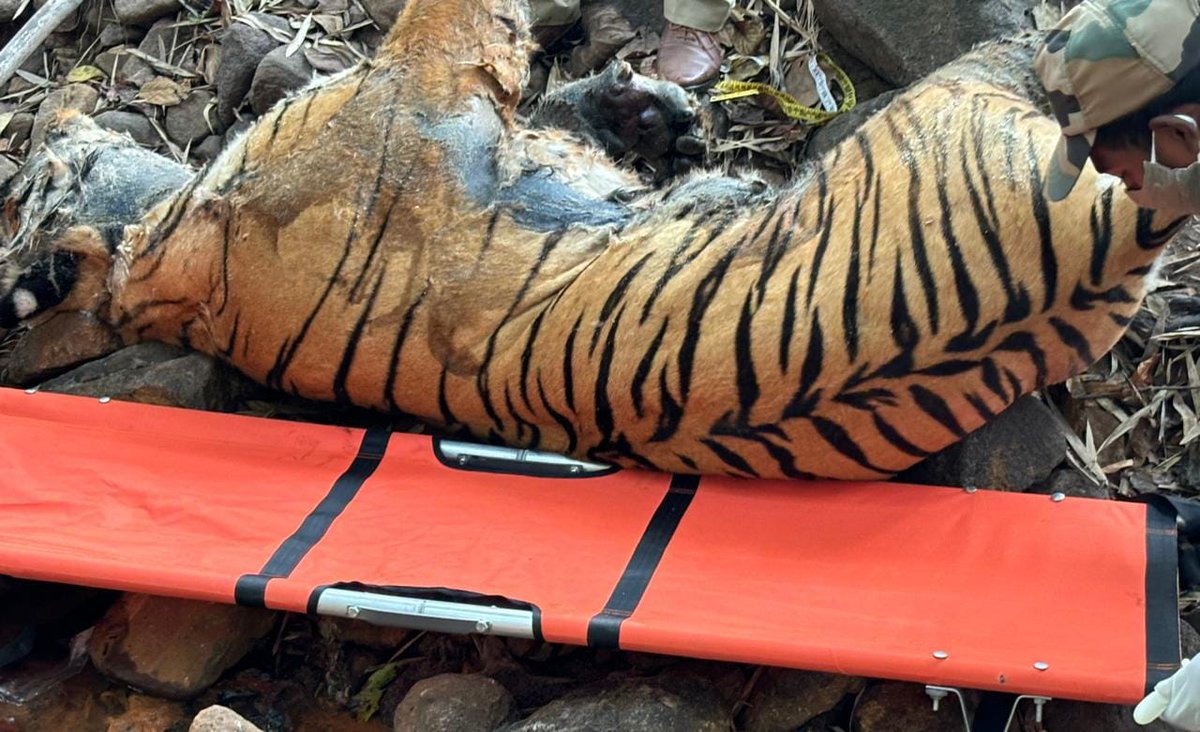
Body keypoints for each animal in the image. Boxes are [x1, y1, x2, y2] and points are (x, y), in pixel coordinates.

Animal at [0, 0, 1187, 481]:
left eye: (26, 178)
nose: (48, 117)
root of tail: (1112, 238)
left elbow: (569, 111)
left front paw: (654, 112)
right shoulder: (424, 80)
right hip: (978, 91)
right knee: (1057, 43)